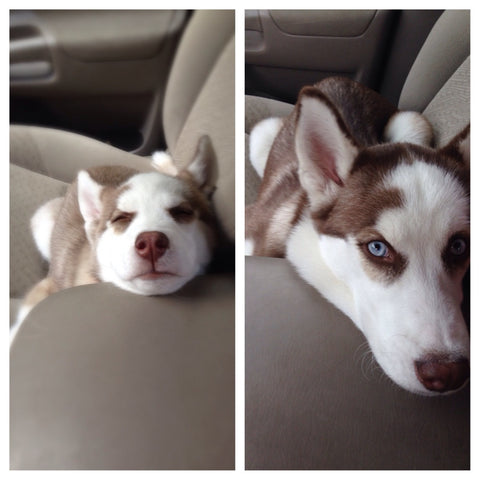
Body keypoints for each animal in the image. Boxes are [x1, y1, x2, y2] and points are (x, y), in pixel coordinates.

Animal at [248, 77, 468, 396]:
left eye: (460, 246)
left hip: (413, 122)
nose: (448, 373)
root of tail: (338, 80)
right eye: (377, 248)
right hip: (261, 135)